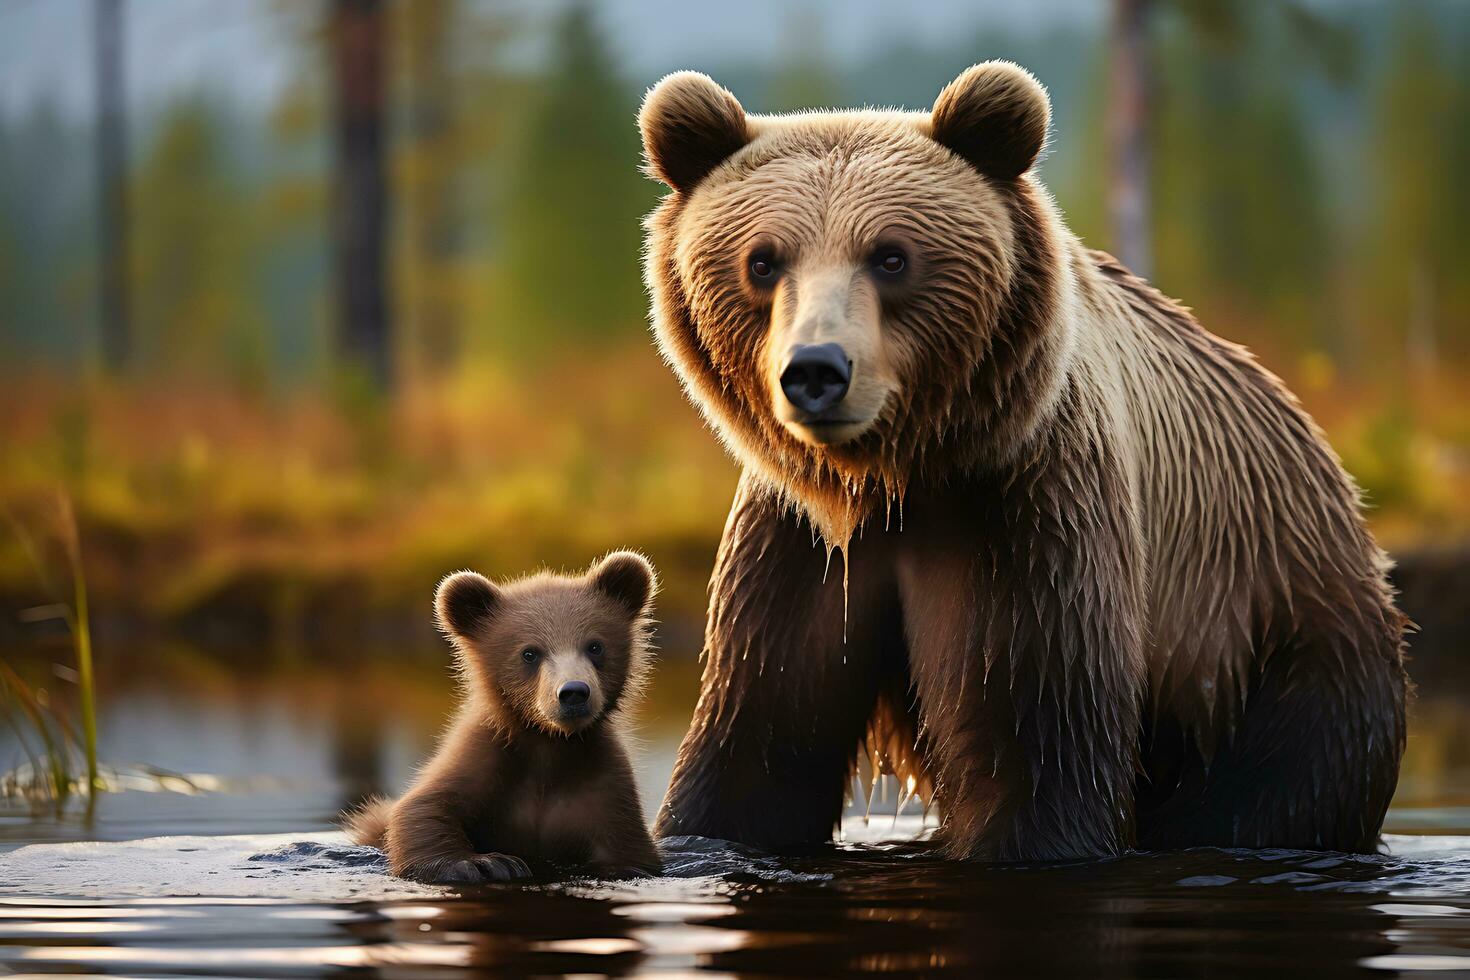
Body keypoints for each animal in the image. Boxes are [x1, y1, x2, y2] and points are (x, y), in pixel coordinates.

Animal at [635, 63, 1411, 858]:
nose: (817, 370)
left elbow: (1036, 745)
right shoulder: (799, 551)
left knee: (1275, 785)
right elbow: (756, 747)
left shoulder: (1026, 517)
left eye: (891, 255)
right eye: (762, 260)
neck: (895, 479)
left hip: (1273, 644)